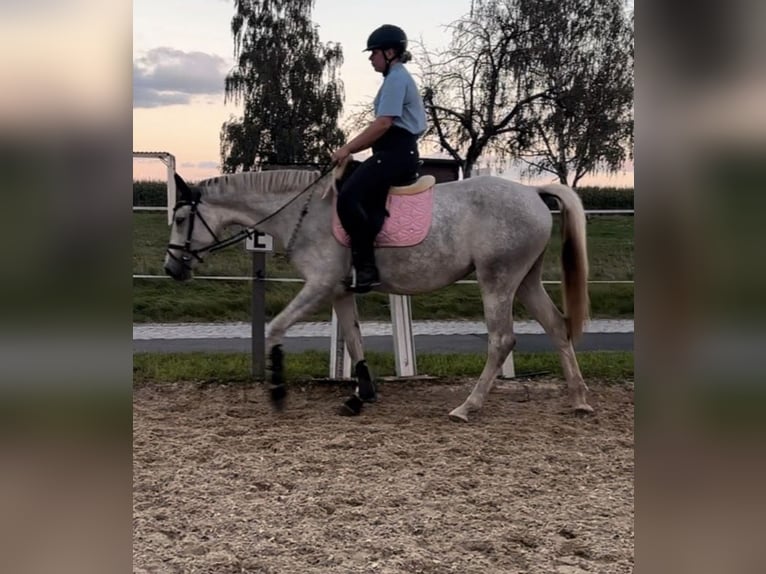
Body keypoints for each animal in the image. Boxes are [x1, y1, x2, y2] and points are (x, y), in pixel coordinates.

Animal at [164, 162, 593, 422]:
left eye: (181, 218)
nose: (171, 268)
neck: (305, 212)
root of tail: (533, 193)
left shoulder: (318, 286)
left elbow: (276, 328)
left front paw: (278, 392)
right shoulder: (339, 290)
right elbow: (354, 339)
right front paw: (362, 393)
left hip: (497, 280)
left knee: (502, 340)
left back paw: (467, 406)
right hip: (525, 280)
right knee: (557, 327)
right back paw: (579, 399)